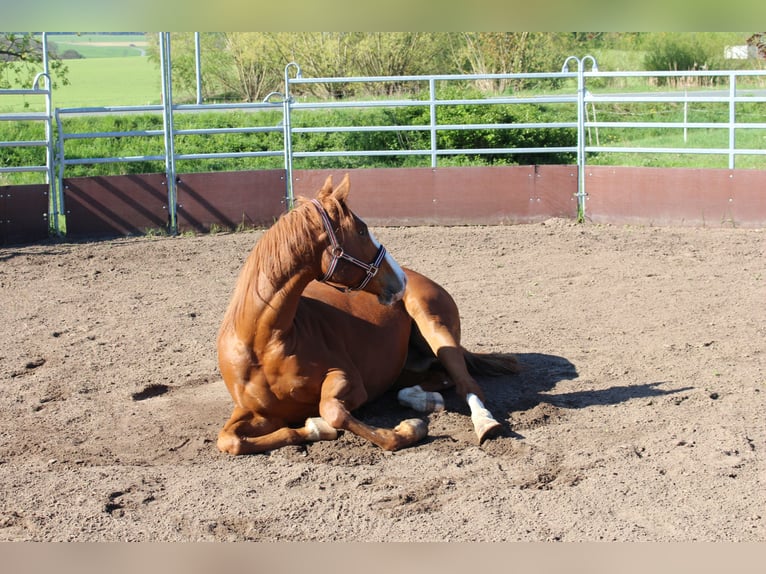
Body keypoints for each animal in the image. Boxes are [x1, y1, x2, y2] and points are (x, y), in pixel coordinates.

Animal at [216, 174, 519, 455]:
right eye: (361, 230)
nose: (399, 279)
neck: (263, 343)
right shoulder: (259, 414)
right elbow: (230, 440)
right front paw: (314, 428)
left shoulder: (348, 379)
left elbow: (332, 411)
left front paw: (410, 428)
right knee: (435, 380)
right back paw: (424, 399)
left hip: (436, 329)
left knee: (465, 381)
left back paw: (484, 422)